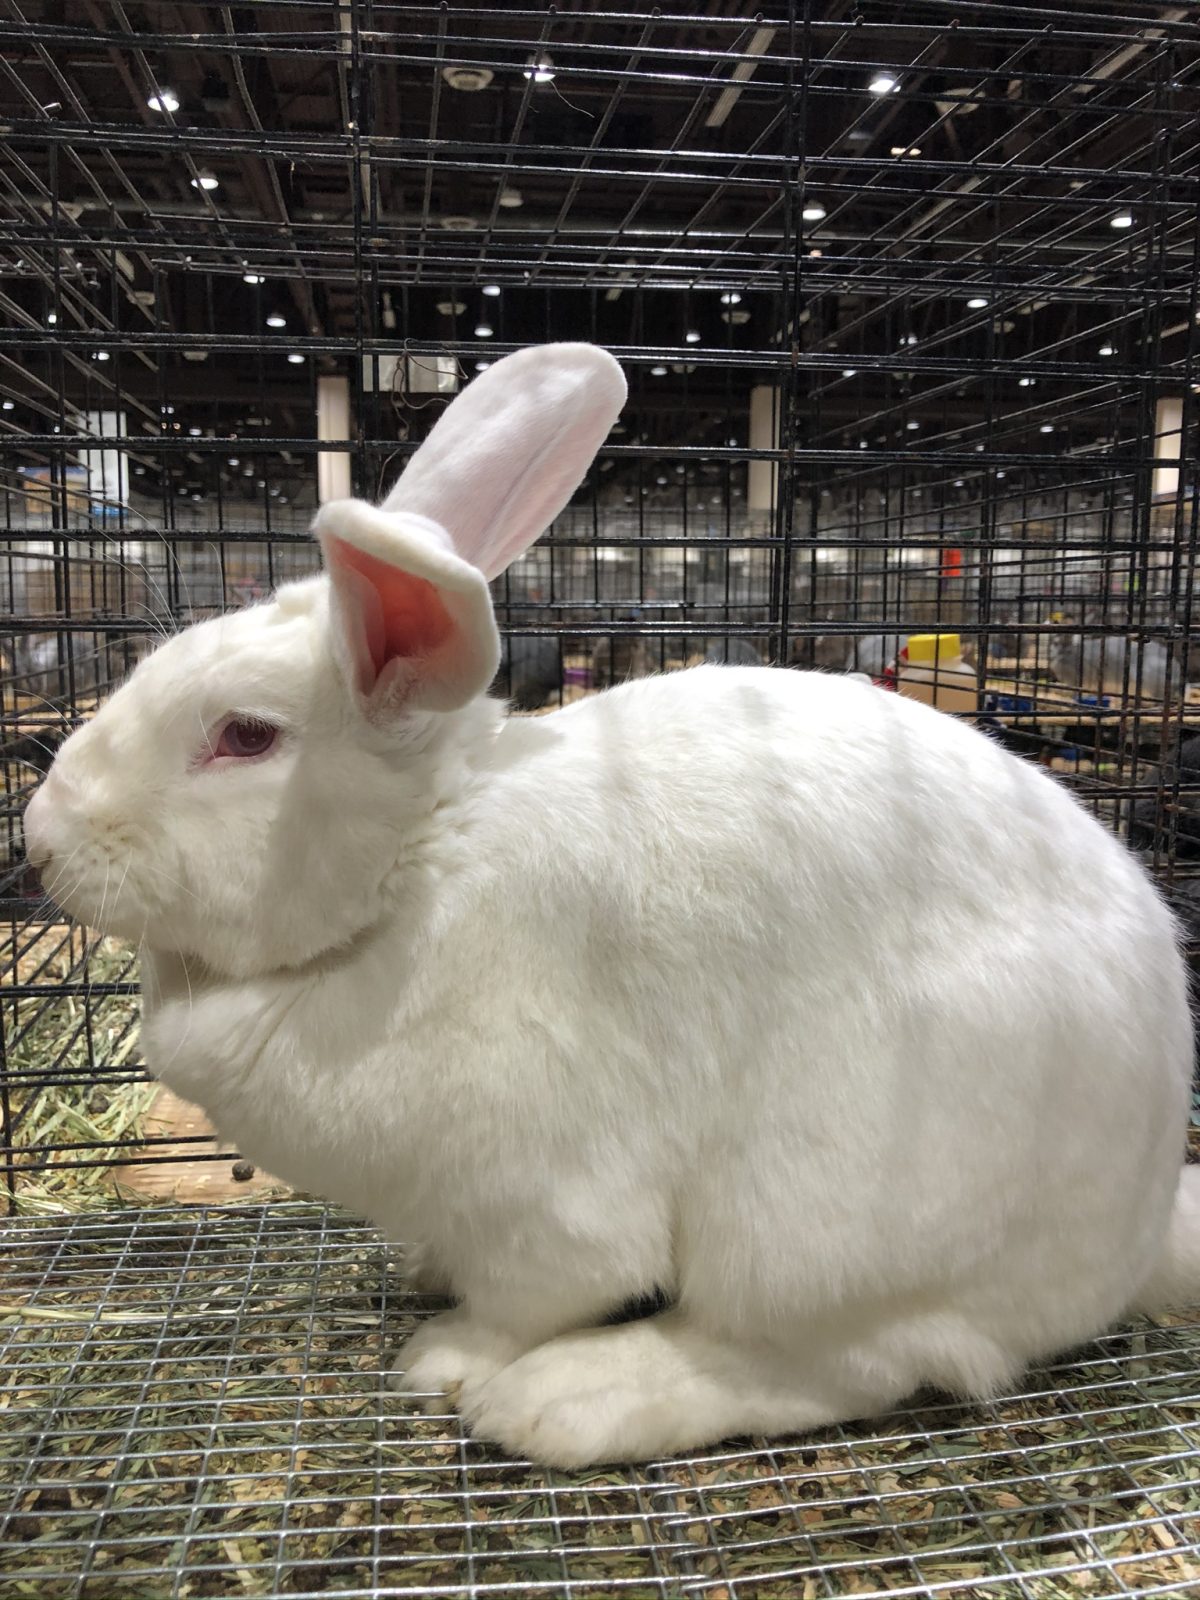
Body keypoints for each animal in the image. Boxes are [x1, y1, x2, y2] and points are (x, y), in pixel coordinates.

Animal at [22, 342, 1199, 1471]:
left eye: (246, 737)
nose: (40, 837)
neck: (417, 868)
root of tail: (1134, 1236)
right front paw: (421, 1274)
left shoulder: (544, 1195)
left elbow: (532, 1294)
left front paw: (440, 1357)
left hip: (819, 1220)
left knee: (837, 1363)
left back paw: (572, 1400)